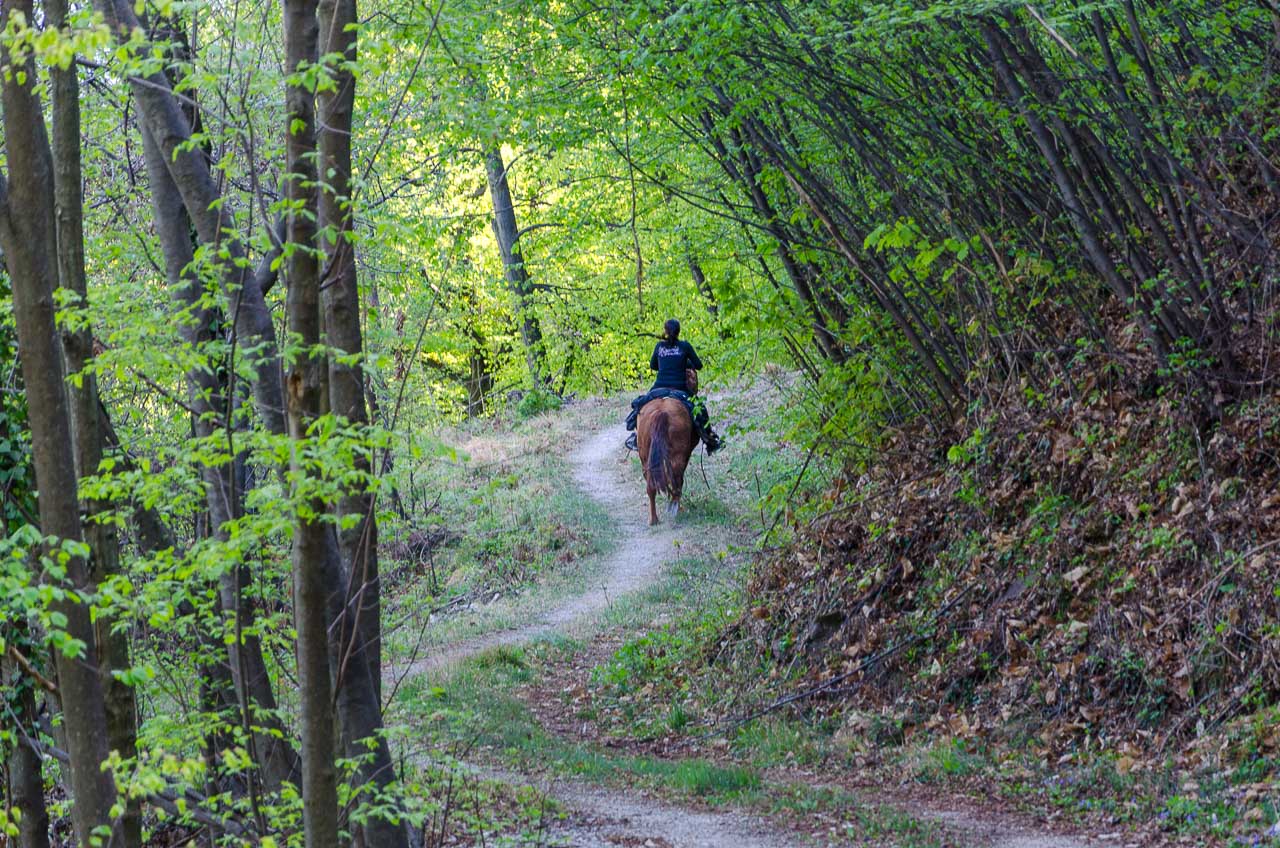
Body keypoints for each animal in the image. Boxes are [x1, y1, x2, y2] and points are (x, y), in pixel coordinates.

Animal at [635, 397, 696, 526]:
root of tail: (661, 413)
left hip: (646, 459)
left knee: (652, 487)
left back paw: (654, 519)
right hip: (675, 457)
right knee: (676, 482)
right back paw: (674, 508)